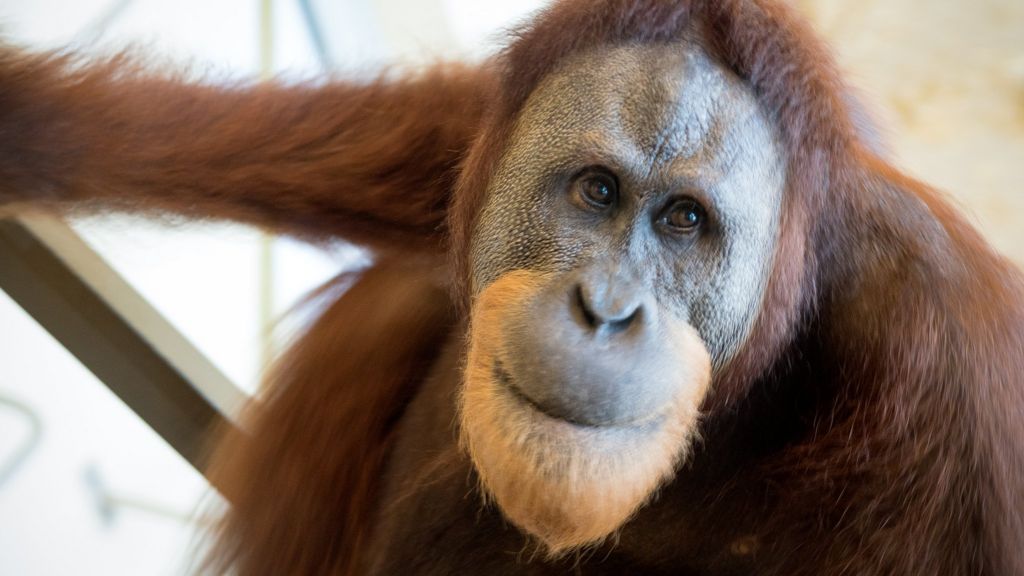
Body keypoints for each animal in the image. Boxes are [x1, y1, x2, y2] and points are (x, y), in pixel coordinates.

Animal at [1, 0, 1022, 574]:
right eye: (598, 191)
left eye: (684, 221)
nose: (606, 310)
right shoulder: (474, 133)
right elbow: (266, 142)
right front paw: (29, 123)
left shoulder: (958, 380)